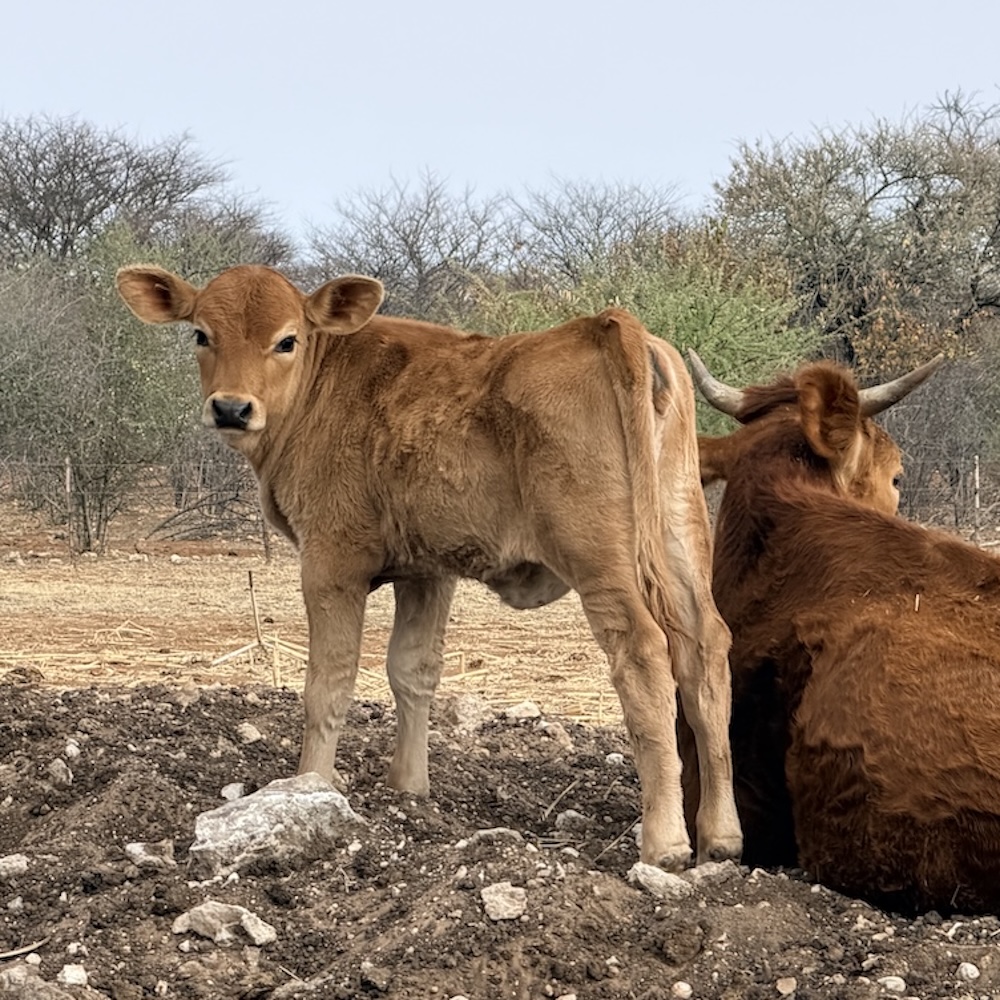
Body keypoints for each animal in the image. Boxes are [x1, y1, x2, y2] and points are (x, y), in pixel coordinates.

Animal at [116, 263, 743, 871]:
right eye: (201, 334)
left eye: (286, 339)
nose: (231, 407)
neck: (324, 384)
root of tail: (606, 328)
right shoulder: (428, 572)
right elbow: (412, 672)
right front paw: (409, 789)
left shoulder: (330, 565)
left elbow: (329, 684)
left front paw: (310, 786)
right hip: (677, 541)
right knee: (705, 649)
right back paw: (721, 835)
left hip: (601, 564)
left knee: (644, 651)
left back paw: (664, 841)